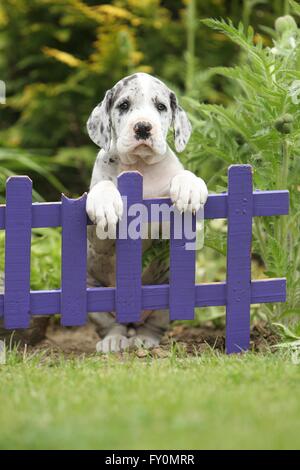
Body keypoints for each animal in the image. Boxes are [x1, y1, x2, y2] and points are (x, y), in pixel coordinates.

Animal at [84, 72, 206, 352]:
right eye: (124, 105)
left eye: (160, 107)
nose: (142, 127)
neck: (140, 167)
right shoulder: (98, 241)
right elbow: (103, 189)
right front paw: (104, 201)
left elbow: (183, 177)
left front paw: (190, 187)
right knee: (112, 325)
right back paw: (114, 340)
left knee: (152, 326)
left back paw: (144, 339)